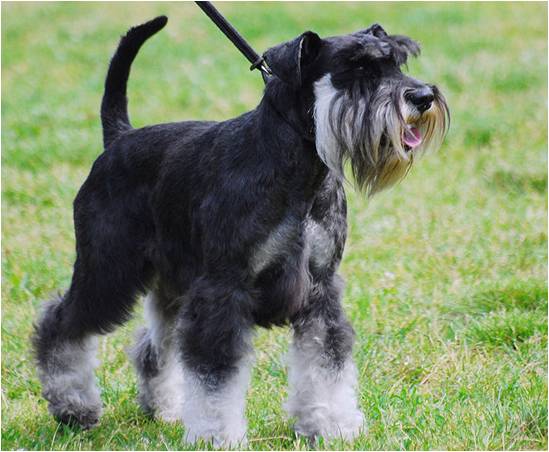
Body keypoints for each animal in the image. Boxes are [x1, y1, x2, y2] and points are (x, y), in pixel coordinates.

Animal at [32, 15, 448, 448]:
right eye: (359, 68)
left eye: (397, 62)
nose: (423, 97)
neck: (297, 168)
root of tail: (118, 137)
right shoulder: (223, 292)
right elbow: (215, 378)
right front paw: (217, 436)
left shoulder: (321, 291)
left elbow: (325, 364)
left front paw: (333, 425)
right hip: (108, 270)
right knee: (60, 325)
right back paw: (74, 406)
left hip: (171, 283)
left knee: (154, 345)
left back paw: (163, 408)